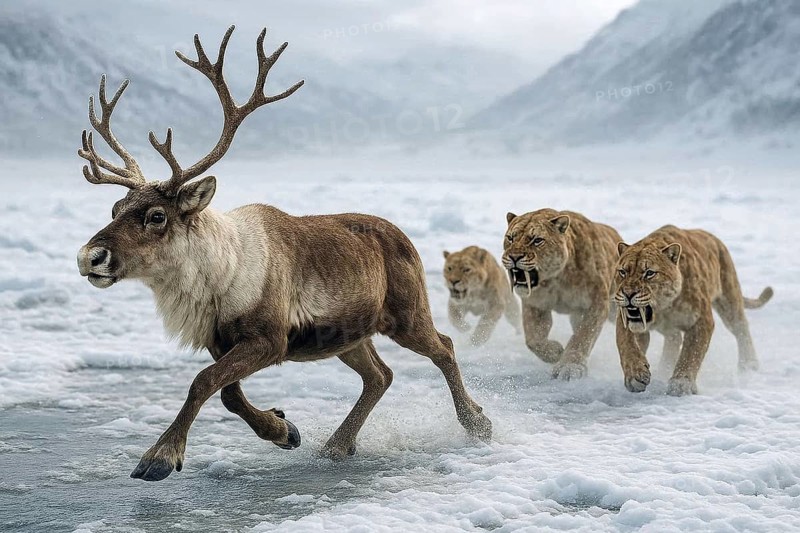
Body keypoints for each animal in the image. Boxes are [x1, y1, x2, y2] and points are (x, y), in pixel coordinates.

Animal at [75, 26, 492, 481]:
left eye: (156, 216)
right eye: (115, 208)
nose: (89, 257)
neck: (217, 272)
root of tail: (404, 237)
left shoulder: (269, 338)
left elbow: (202, 382)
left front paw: (159, 457)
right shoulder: (221, 341)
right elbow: (229, 395)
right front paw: (283, 429)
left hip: (407, 314)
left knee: (444, 348)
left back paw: (477, 423)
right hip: (349, 335)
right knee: (381, 375)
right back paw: (337, 445)